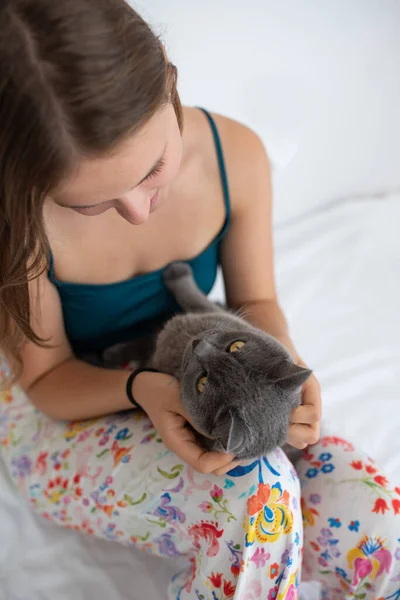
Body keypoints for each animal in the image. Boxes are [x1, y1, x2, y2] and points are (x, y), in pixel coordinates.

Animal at [104, 262, 312, 460]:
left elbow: (189, 295)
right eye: (236, 346)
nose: (198, 345)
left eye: (202, 383)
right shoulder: (212, 314)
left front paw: (176, 271)